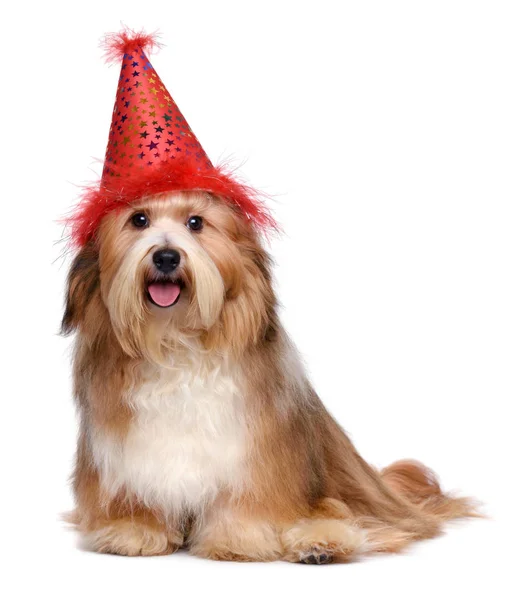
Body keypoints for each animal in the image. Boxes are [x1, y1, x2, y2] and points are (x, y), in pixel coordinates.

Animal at [62, 189, 476, 564]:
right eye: (139, 220)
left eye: (195, 223)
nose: (166, 256)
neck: (176, 343)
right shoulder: (124, 455)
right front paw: (133, 531)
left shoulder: (255, 455)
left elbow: (247, 502)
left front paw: (239, 539)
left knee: (347, 516)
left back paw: (319, 544)